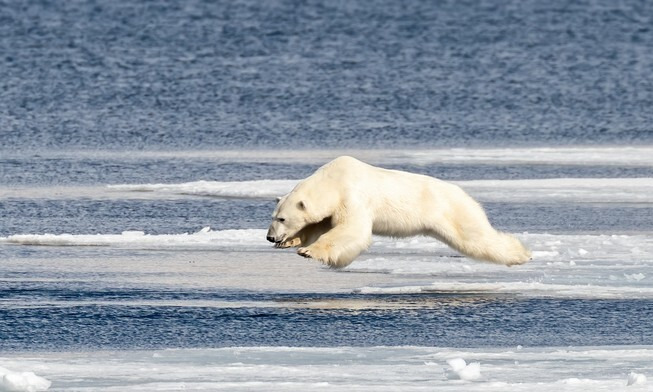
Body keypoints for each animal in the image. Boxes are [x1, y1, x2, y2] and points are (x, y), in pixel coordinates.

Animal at [264, 156, 528, 270]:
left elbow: (351, 230)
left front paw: (308, 251)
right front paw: (290, 242)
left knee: (475, 236)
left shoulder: (352, 196)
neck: (333, 180)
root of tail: (465, 194)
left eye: (282, 218)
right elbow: (319, 225)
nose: (270, 237)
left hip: (453, 210)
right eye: (273, 216)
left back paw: (521, 254)